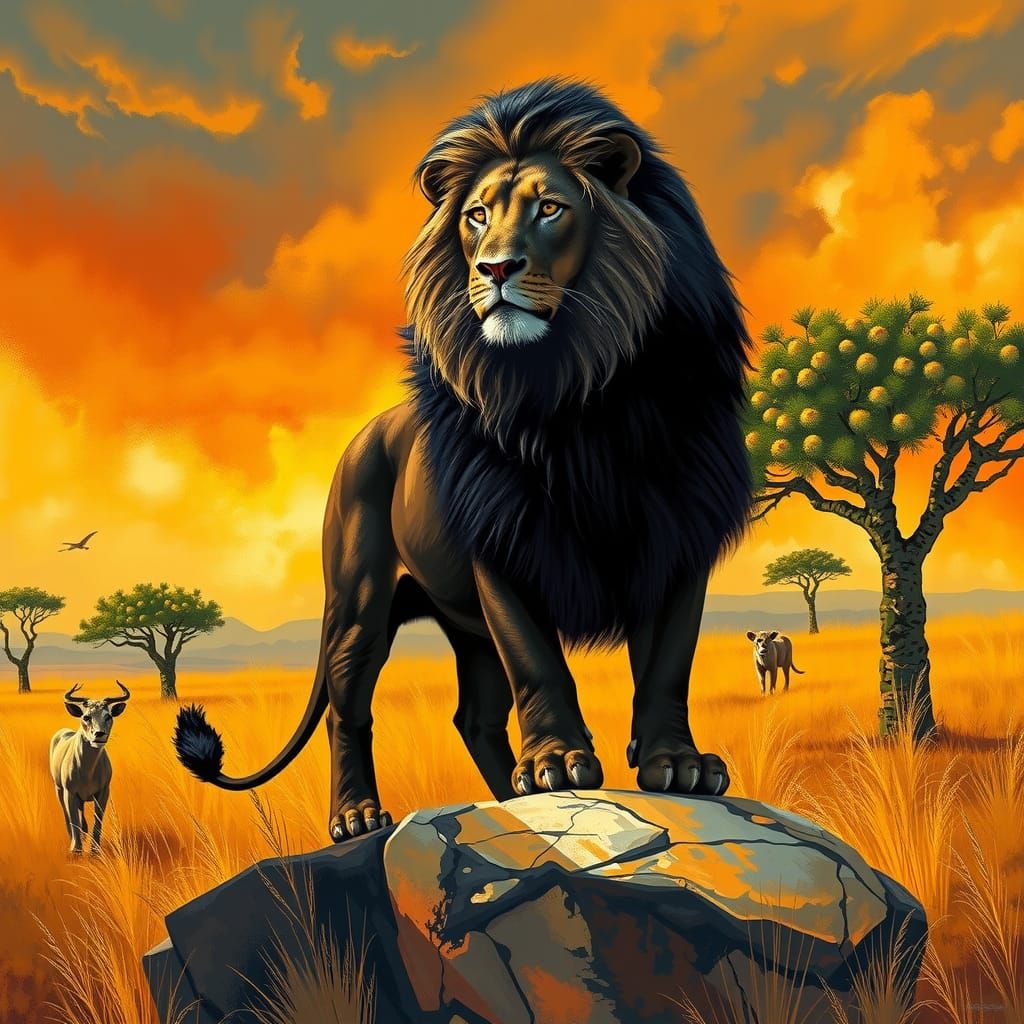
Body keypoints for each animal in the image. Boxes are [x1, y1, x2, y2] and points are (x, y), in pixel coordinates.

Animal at [174, 78, 753, 842]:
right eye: (477, 216)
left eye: (549, 207)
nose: (495, 268)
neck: (576, 391)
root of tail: (363, 437)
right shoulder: (503, 542)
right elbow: (539, 661)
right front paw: (557, 766)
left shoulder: (678, 534)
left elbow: (667, 665)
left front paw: (676, 766)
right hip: (357, 602)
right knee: (348, 708)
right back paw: (358, 816)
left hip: (467, 628)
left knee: (474, 715)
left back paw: (509, 800)